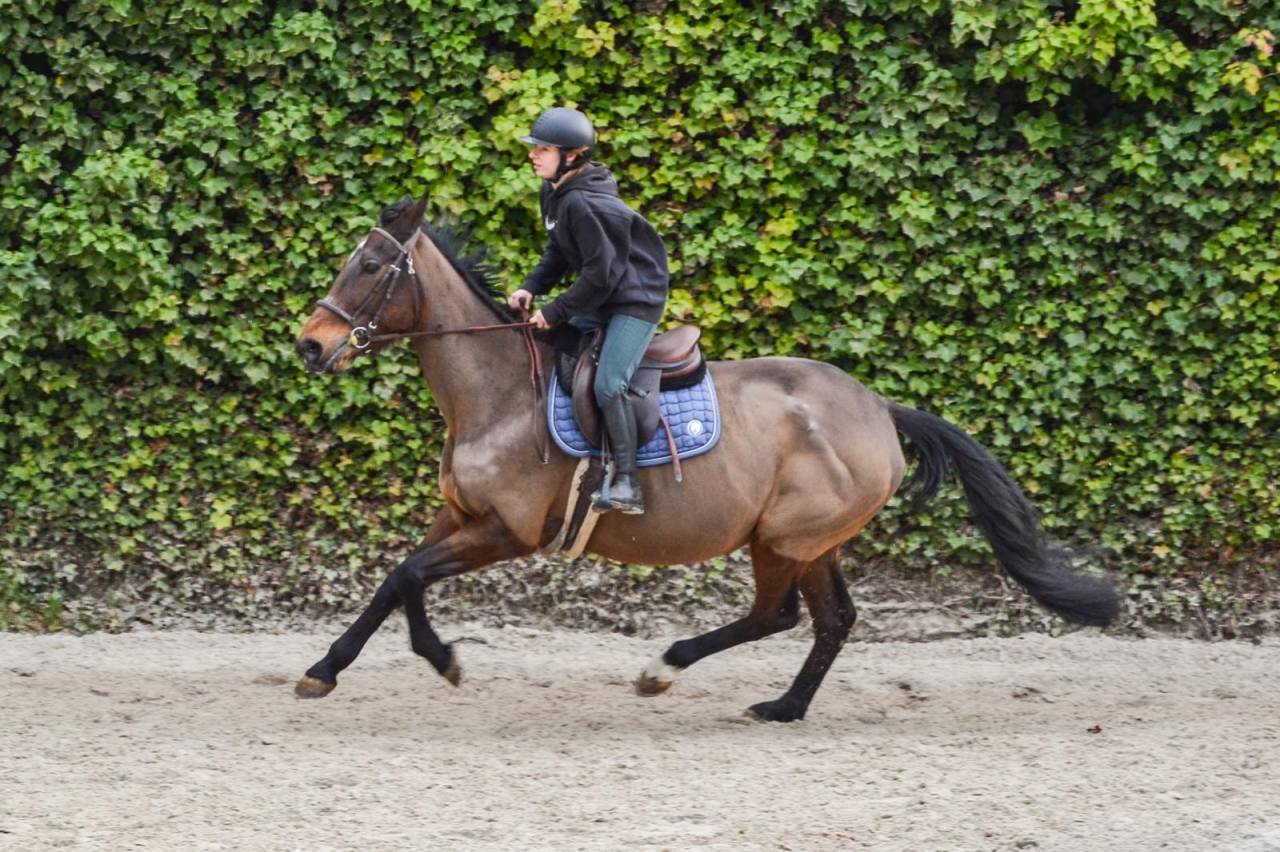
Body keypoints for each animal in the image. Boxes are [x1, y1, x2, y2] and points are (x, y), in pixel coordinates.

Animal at [292, 194, 1119, 722]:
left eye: (370, 267)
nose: (310, 345)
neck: (497, 394)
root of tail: (882, 409)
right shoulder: (458, 515)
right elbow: (394, 580)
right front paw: (325, 670)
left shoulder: (507, 533)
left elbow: (408, 576)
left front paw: (443, 658)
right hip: (816, 543)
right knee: (832, 620)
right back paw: (784, 707)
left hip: (783, 538)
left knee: (777, 614)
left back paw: (665, 670)